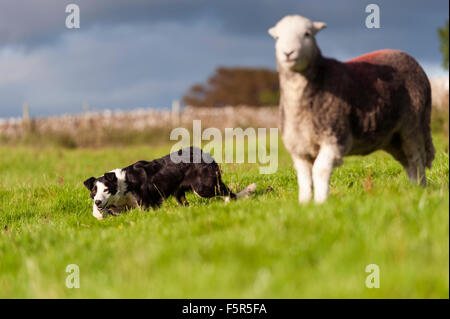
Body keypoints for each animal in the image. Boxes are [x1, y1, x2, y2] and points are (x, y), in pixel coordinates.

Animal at [82, 147, 255, 220]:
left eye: (106, 190)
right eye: (93, 192)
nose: (97, 201)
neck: (124, 184)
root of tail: (203, 152)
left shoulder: (145, 203)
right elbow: (109, 210)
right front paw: (98, 213)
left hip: (203, 187)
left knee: (228, 192)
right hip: (180, 194)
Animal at [268, 15, 434, 204]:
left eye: (307, 34)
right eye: (277, 37)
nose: (288, 53)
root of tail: (411, 59)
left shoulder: (335, 138)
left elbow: (320, 170)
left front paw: (321, 203)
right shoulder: (299, 147)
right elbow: (303, 177)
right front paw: (304, 203)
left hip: (413, 124)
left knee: (416, 158)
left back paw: (420, 190)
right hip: (392, 136)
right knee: (407, 161)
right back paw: (413, 189)